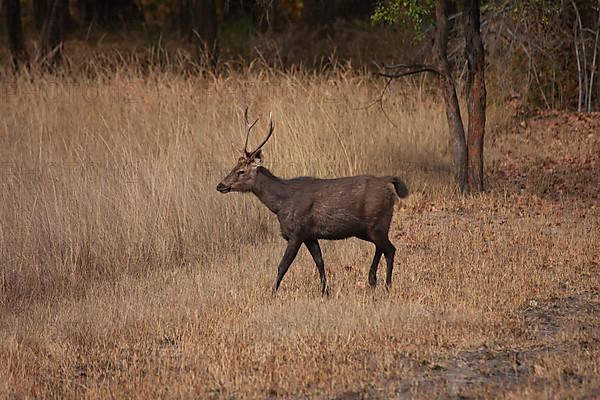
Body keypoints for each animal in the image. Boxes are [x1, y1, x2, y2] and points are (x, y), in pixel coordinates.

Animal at [216, 108, 408, 294]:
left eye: (241, 171)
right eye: (234, 167)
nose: (220, 185)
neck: (280, 204)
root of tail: (387, 182)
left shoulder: (296, 233)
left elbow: (282, 266)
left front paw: (272, 293)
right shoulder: (310, 235)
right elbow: (319, 261)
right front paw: (325, 291)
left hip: (378, 221)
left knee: (390, 249)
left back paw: (387, 286)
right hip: (367, 229)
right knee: (381, 248)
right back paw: (372, 280)